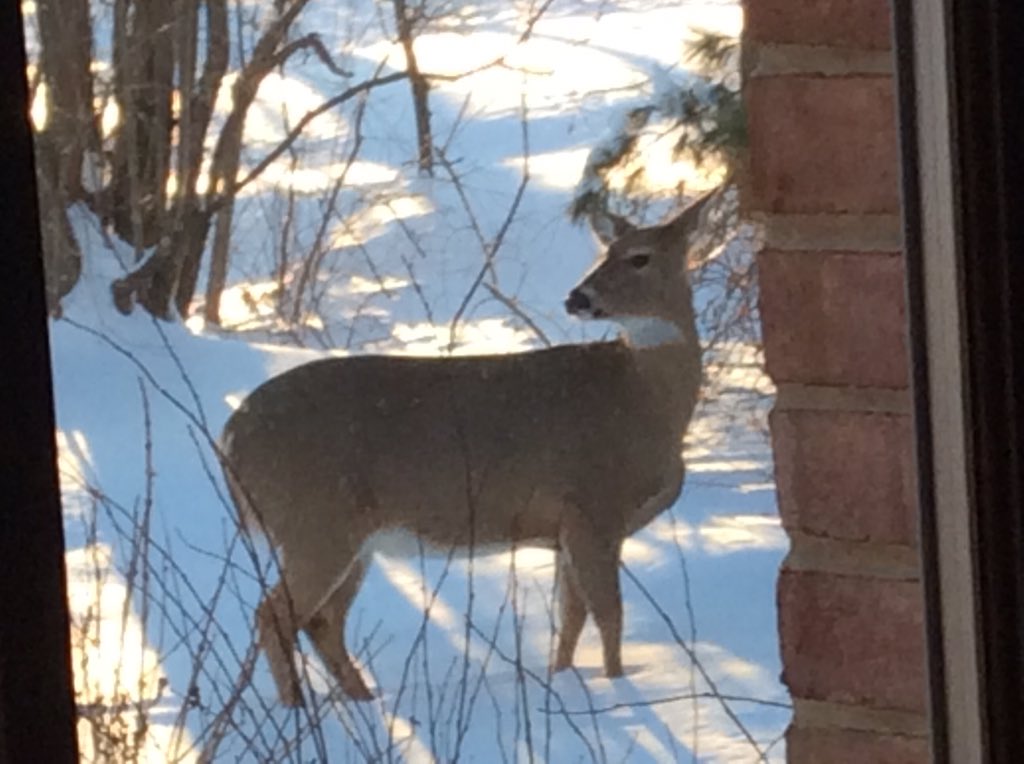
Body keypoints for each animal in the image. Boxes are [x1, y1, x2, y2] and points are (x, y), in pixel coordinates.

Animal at [218, 189, 716, 704]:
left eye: (639, 257)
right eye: (607, 252)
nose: (577, 297)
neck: (644, 401)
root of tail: (230, 436)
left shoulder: (565, 528)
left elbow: (571, 620)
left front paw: (564, 681)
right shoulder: (592, 506)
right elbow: (609, 616)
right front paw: (617, 689)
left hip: (349, 536)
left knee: (322, 620)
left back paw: (361, 702)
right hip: (315, 521)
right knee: (276, 614)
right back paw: (298, 709)